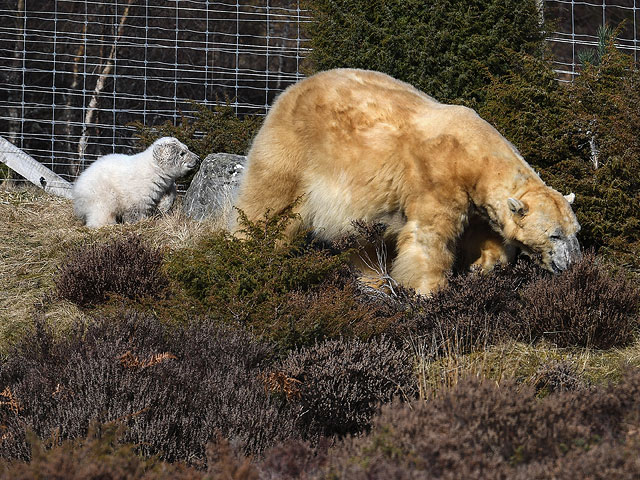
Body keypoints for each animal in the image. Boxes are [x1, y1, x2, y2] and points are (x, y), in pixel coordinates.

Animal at [232, 67, 584, 292]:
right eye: (554, 235)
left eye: (574, 232)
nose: (571, 265)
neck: (473, 154)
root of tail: (290, 90)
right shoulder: (435, 179)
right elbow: (429, 241)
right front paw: (429, 292)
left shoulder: (476, 201)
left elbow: (487, 238)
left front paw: (482, 269)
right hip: (295, 150)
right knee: (268, 204)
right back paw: (246, 253)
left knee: (365, 243)